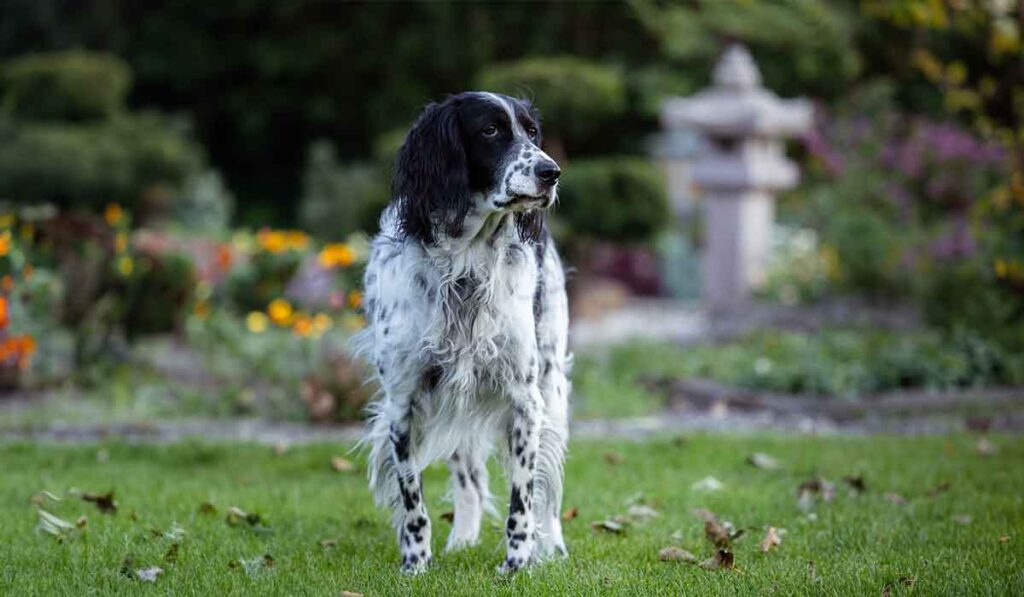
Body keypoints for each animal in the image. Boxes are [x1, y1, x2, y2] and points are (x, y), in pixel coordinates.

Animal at [356, 92, 573, 573]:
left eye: (532, 131)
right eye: (490, 131)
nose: (551, 172)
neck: (465, 261)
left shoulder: (525, 400)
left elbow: (523, 498)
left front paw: (516, 566)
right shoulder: (403, 402)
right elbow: (412, 499)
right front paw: (416, 564)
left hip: (551, 389)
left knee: (548, 493)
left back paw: (554, 547)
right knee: (469, 481)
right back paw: (462, 540)